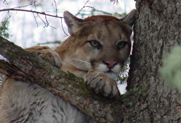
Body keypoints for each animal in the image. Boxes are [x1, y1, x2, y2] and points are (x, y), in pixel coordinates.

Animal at [0, 9, 136, 123]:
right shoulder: (13, 104)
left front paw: (104, 81)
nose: (111, 63)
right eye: (94, 43)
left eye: (121, 44)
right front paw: (46, 54)